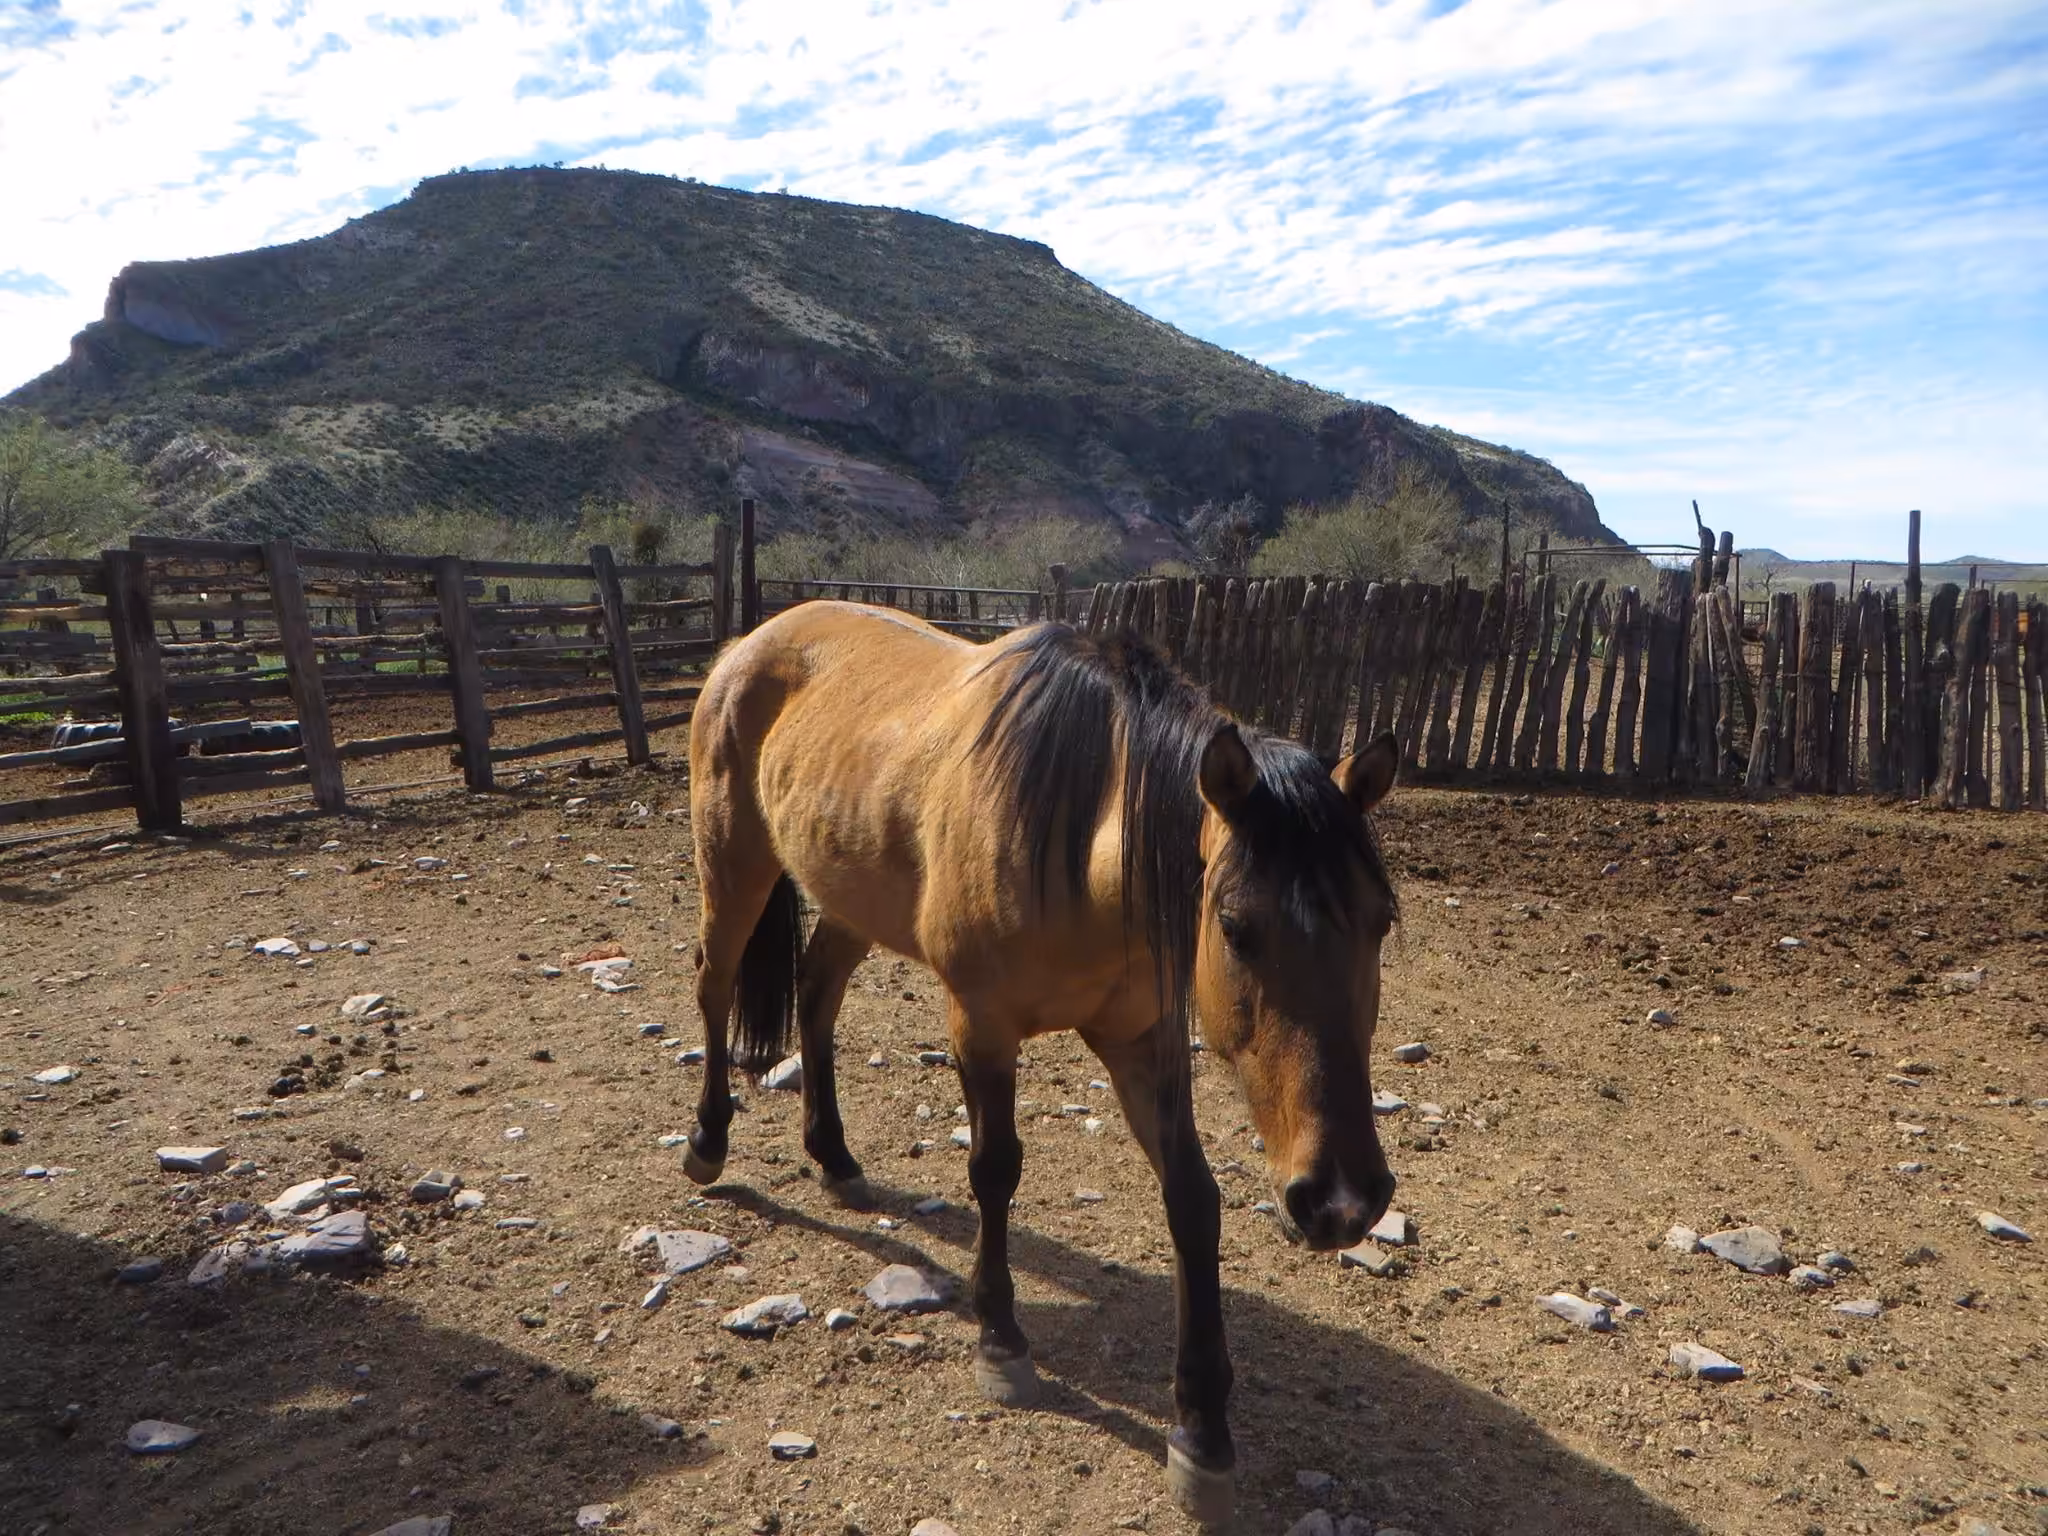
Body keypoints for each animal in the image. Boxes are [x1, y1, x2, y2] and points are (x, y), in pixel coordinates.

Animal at [683, 600, 1401, 1525]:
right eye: (1237, 928)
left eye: (1382, 919)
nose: (1343, 1200)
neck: (1074, 840)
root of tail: (753, 641)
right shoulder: (981, 1026)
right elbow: (994, 1170)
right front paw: (1001, 1341)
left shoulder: (1144, 1044)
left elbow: (1193, 1201)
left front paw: (1202, 1427)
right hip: (732, 862)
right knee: (713, 986)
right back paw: (707, 1143)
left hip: (849, 893)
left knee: (817, 992)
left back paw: (834, 1156)